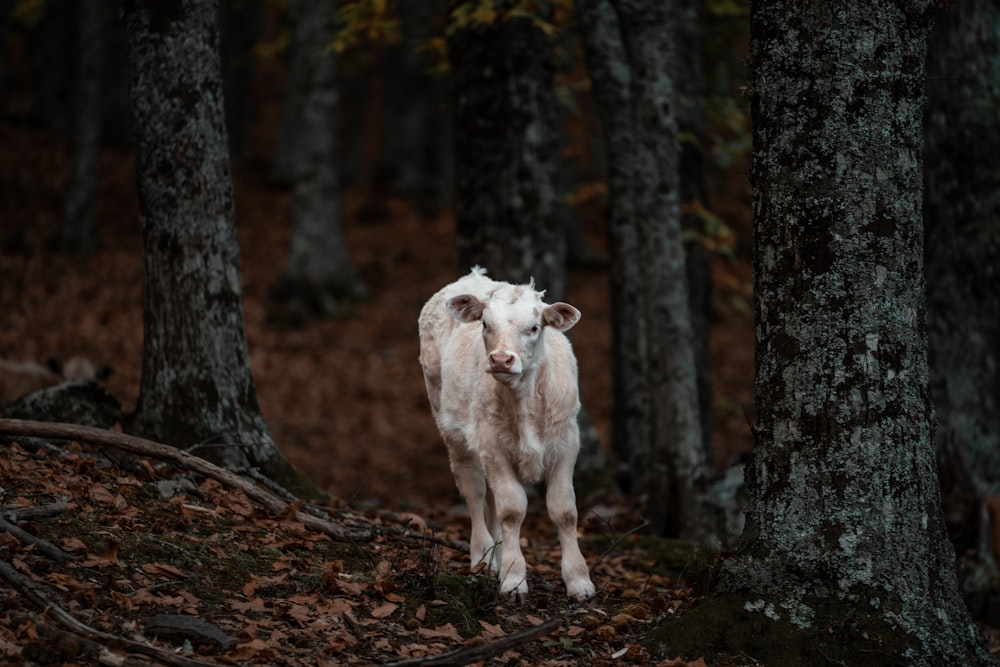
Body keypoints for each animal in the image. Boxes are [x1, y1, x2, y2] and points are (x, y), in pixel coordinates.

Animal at [416, 268, 592, 604]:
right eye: (485, 324)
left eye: (534, 327)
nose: (501, 359)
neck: (524, 402)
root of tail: (473, 275)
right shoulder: (492, 445)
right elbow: (512, 509)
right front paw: (513, 578)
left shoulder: (567, 443)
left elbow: (563, 510)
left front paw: (578, 580)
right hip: (454, 433)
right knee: (475, 493)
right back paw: (483, 557)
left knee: (491, 503)